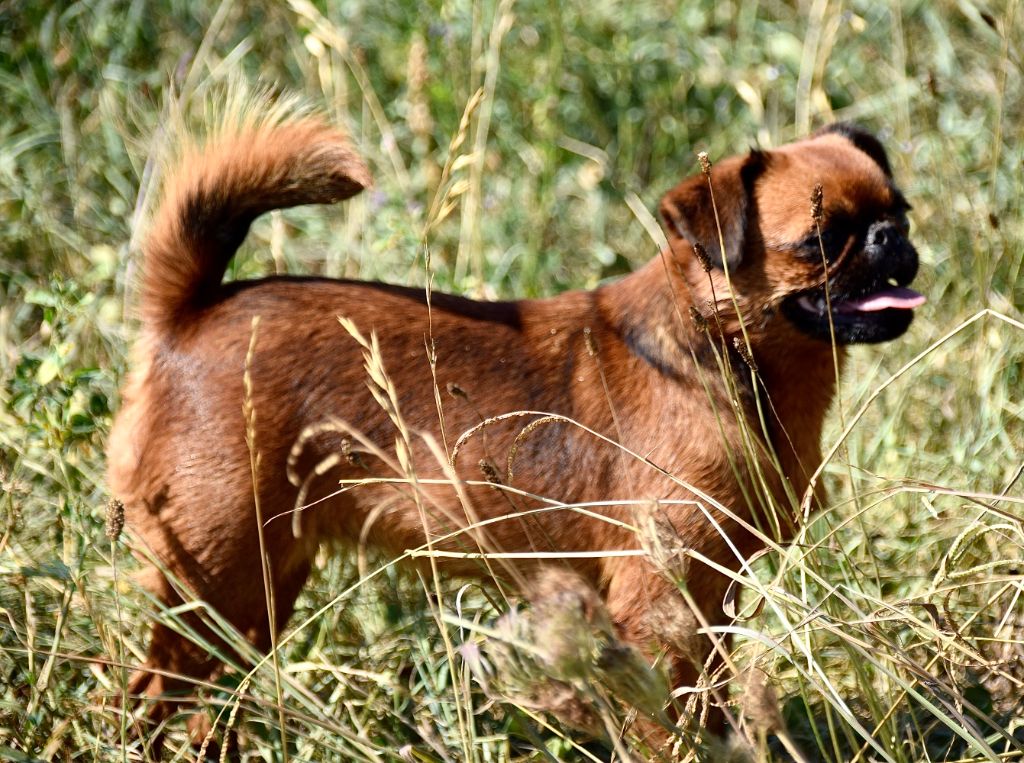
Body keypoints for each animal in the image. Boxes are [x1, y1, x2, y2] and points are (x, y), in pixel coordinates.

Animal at [108, 110, 925, 741]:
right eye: (820, 239)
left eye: (901, 211)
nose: (889, 238)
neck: (717, 353)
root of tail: (191, 311)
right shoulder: (660, 608)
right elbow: (668, 722)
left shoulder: (712, 597)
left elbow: (714, 704)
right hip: (216, 580)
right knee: (152, 696)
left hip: (256, 594)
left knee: (207, 702)